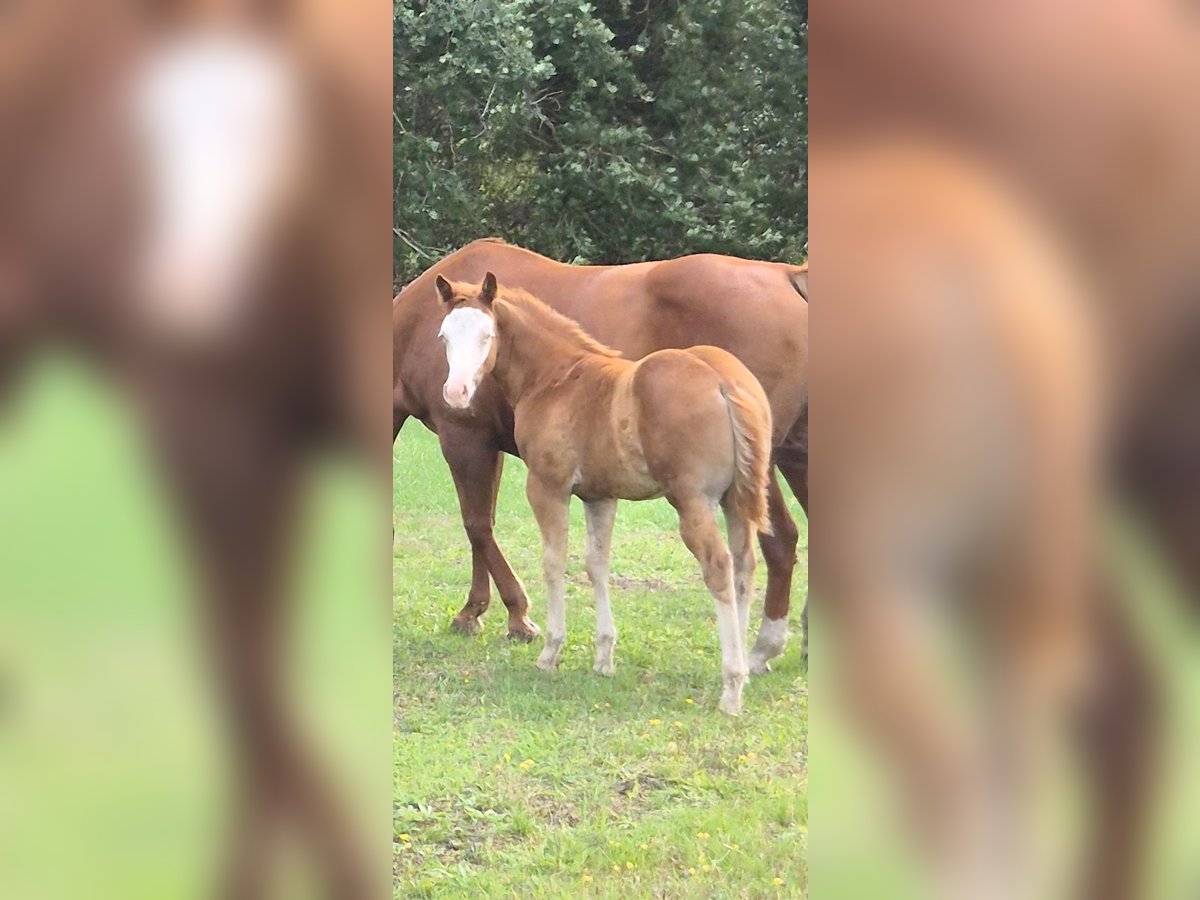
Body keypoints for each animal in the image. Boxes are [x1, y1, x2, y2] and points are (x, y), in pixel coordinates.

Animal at [393, 239, 807, 673]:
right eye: (442, 336)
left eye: (487, 336)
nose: (455, 392)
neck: (556, 375)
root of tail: (787, 275)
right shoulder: (551, 472)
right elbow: (504, 531)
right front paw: (479, 612)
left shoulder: (471, 441)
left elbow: (486, 529)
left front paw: (519, 621)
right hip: (791, 455)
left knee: (771, 544)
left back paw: (758, 652)